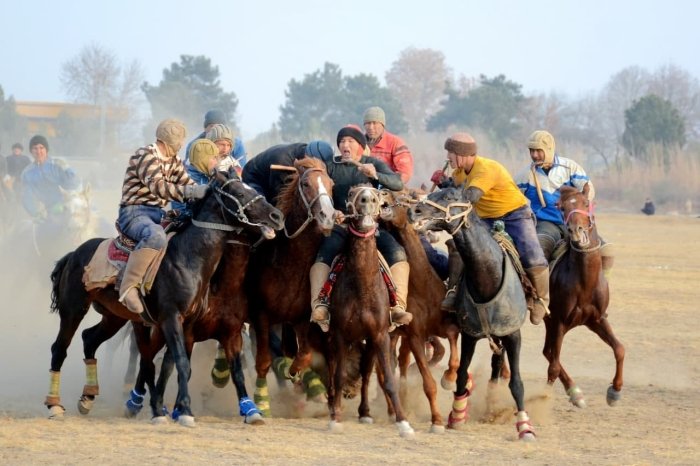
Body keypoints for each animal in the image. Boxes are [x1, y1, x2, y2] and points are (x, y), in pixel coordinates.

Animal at [45, 171, 284, 426]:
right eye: (239, 193)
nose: (277, 216)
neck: (188, 258)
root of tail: (73, 254)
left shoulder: (194, 325)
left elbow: (182, 364)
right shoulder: (171, 318)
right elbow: (180, 363)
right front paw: (184, 411)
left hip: (115, 317)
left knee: (90, 339)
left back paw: (89, 397)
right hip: (73, 309)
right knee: (60, 348)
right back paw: (54, 405)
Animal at [245, 157, 338, 416]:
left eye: (331, 184)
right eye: (306, 184)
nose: (328, 216)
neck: (289, 264)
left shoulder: (301, 318)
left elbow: (303, 356)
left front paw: (308, 384)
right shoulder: (261, 316)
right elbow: (264, 360)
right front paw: (262, 402)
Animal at [324, 185, 412, 436]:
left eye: (377, 194)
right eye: (352, 193)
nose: (367, 200)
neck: (362, 287)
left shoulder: (379, 335)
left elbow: (389, 380)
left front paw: (403, 423)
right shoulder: (340, 334)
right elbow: (338, 375)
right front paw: (336, 419)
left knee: (365, 374)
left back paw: (365, 412)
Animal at [410, 186, 536, 440]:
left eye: (450, 197)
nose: (415, 210)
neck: (488, 277)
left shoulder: (513, 334)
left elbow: (517, 383)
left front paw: (525, 426)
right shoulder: (469, 334)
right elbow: (460, 374)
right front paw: (457, 415)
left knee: (499, 365)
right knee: (495, 365)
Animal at [544, 184, 628, 406]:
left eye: (585, 203)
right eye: (561, 207)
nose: (576, 231)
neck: (584, 282)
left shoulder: (595, 319)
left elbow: (619, 349)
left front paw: (615, 391)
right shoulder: (559, 321)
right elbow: (553, 366)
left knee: (547, 352)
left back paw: (575, 393)